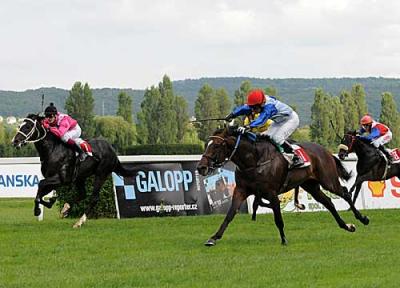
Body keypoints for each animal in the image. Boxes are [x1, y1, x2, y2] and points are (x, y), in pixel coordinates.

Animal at [197, 125, 368, 245]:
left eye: (216, 145)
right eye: (207, 144)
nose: (201, 167)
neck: (254, 160)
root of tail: (325, 151)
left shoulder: (271, 193)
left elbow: (278, 218)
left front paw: (284, 240)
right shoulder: (241, 191)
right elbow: (230, 214)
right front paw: (214, 237)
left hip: (328, 180)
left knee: (345, 193)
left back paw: (362, 218)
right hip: (310, 185)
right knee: (328, 202)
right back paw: (347, 226)